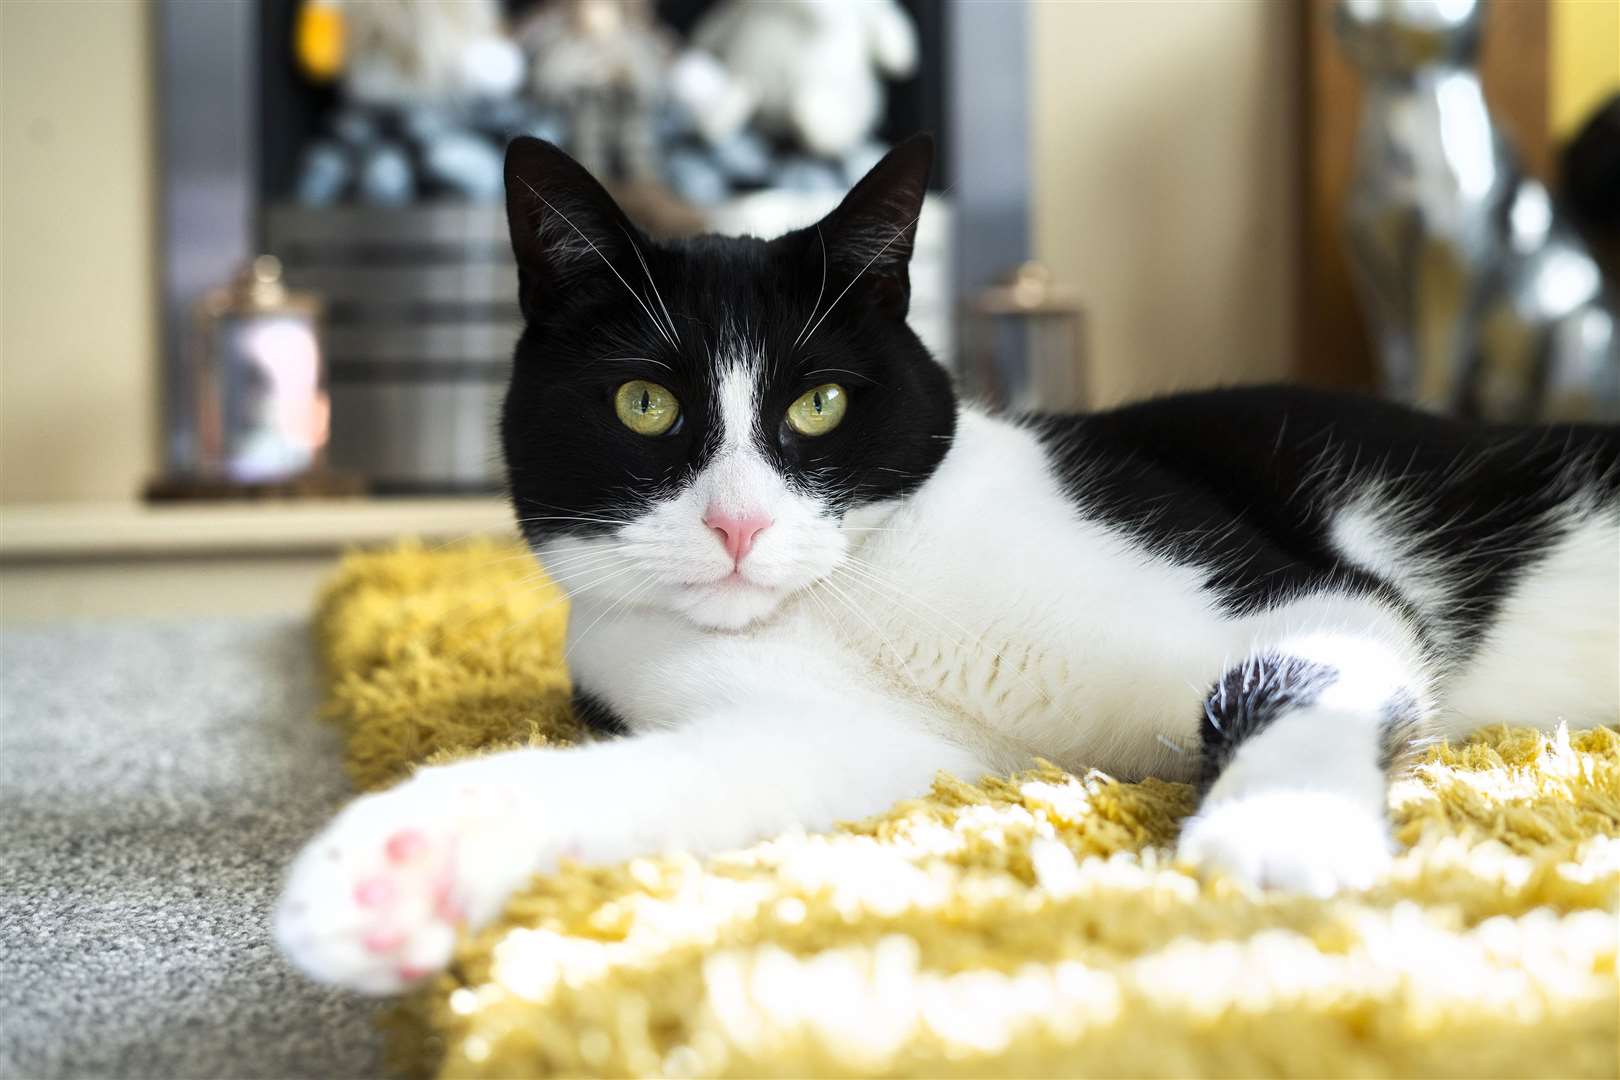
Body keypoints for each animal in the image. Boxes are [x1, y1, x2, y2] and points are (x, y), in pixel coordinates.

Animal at [272, 137, 1613, 997]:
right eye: (644, 404)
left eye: (816, 405)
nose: (738, 528)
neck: (863, 601)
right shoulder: (861, 741)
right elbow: (674, 779)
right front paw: (400, 869)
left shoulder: (1316, 597)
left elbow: (1296, 666)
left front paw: (1282, 831)